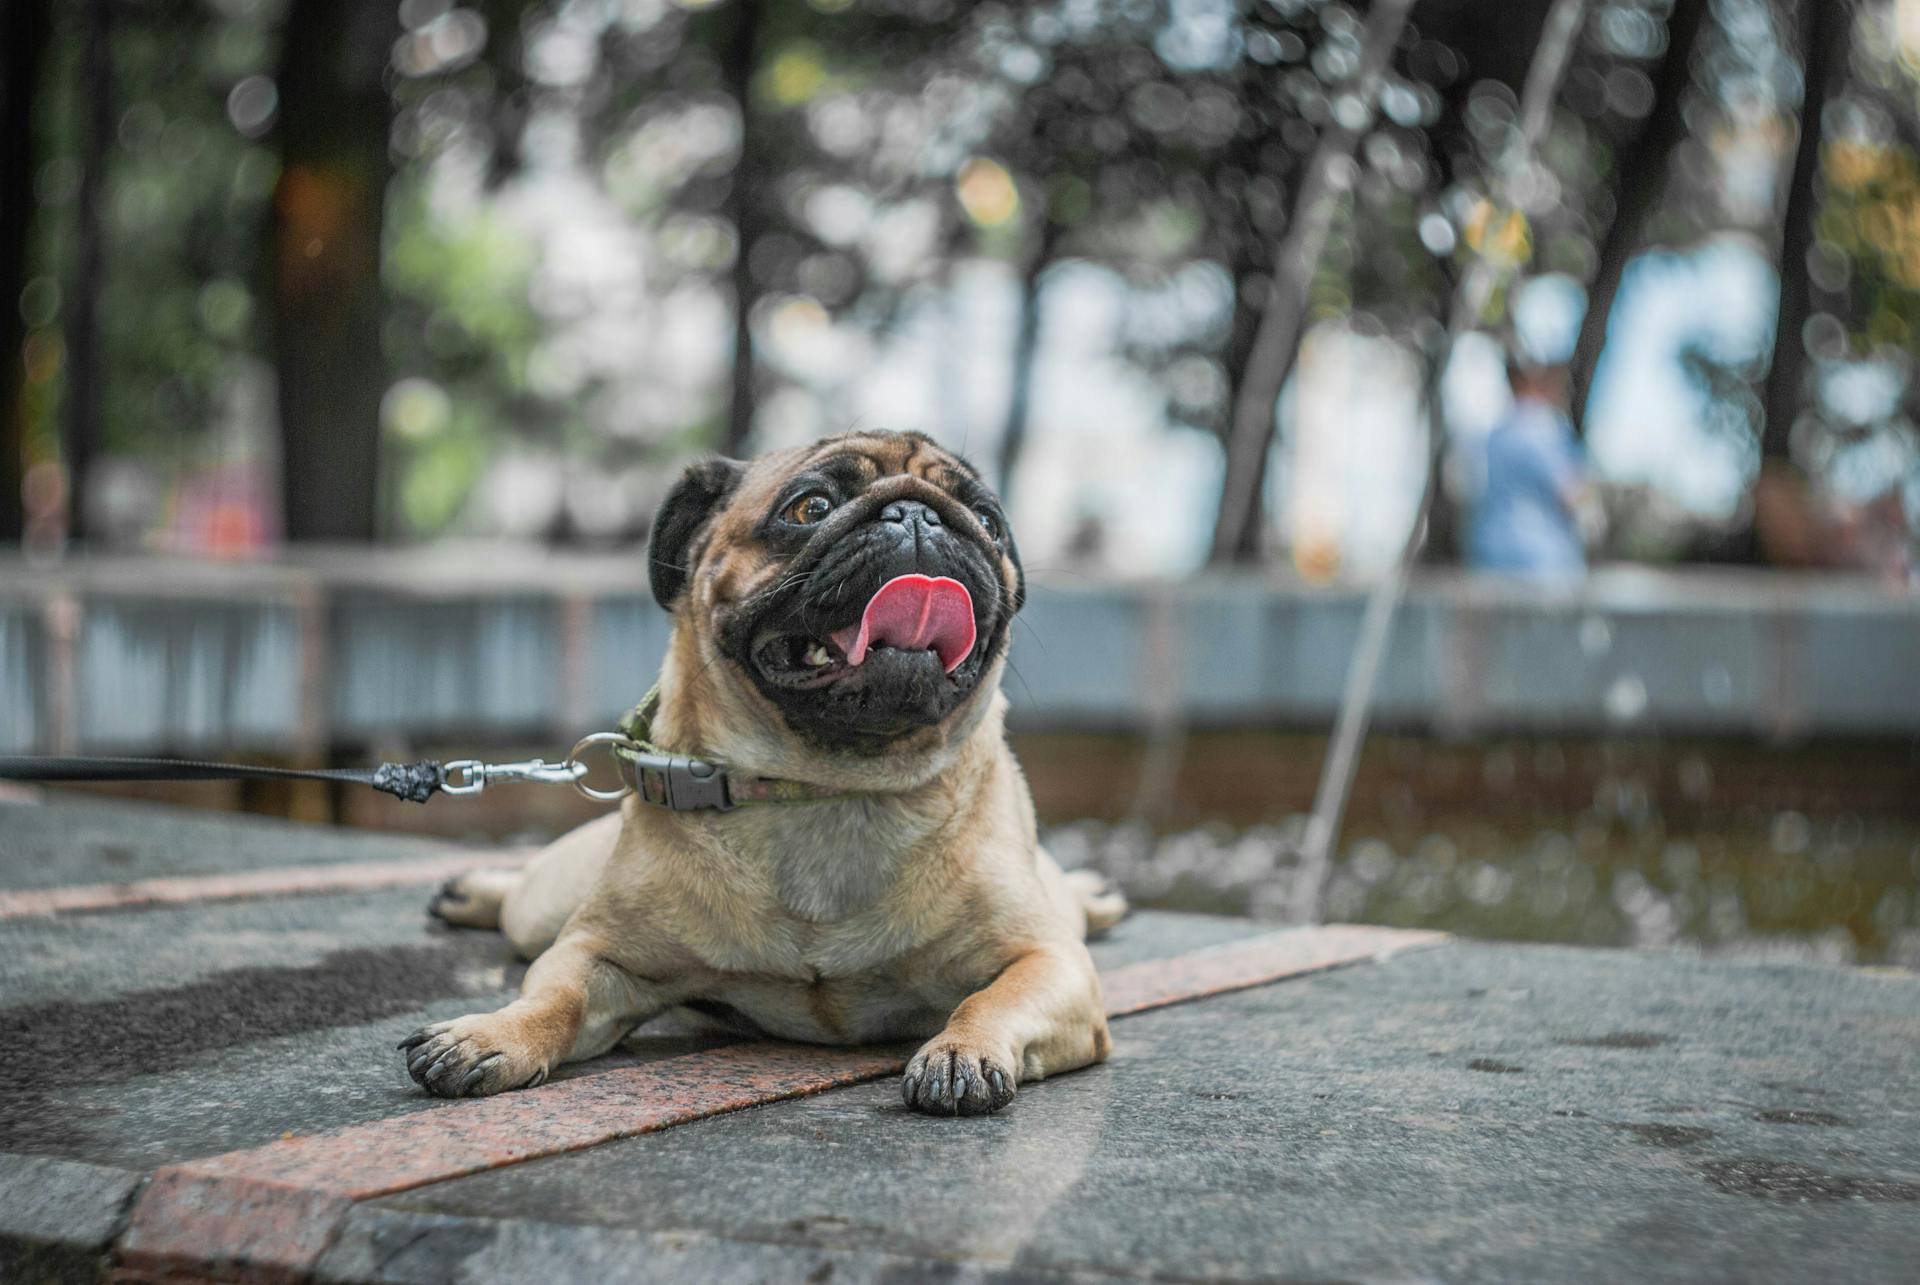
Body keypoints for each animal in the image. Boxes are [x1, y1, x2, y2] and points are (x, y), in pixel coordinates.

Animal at [408, 430, 1121, 1114]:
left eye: (988, 522)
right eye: (810, 508)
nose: (918, 514)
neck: (826, 786)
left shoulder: (1049, 961)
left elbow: (989, 999)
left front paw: (960, 1051)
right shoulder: (592, 951)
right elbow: (556, 998)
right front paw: (494, 1034)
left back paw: (1093, 894)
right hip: (546, 907)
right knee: (521, 903)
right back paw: (475, 891)